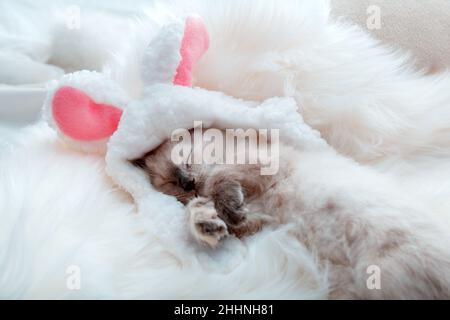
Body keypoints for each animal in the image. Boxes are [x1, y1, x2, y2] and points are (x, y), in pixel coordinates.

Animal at [132, 129, 450, 298]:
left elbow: (219, 177)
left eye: (185, 161)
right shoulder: (258, 223)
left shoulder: (260, 165)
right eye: (176, 189)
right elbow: (212, 213)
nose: (188, 182)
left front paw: (222, 208)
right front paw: (209, 223)